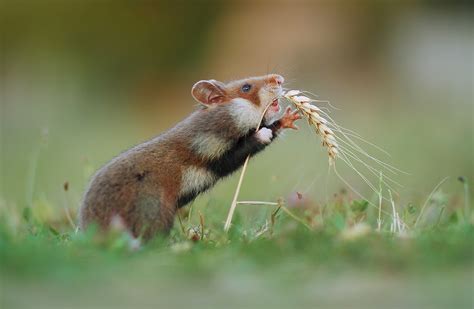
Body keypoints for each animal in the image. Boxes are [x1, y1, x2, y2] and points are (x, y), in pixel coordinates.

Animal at [78, 73, 300, 239]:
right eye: (246, 88)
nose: (279, 78)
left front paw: (290, 117)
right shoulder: (212, 153)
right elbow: (247, 145)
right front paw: (264, 133)